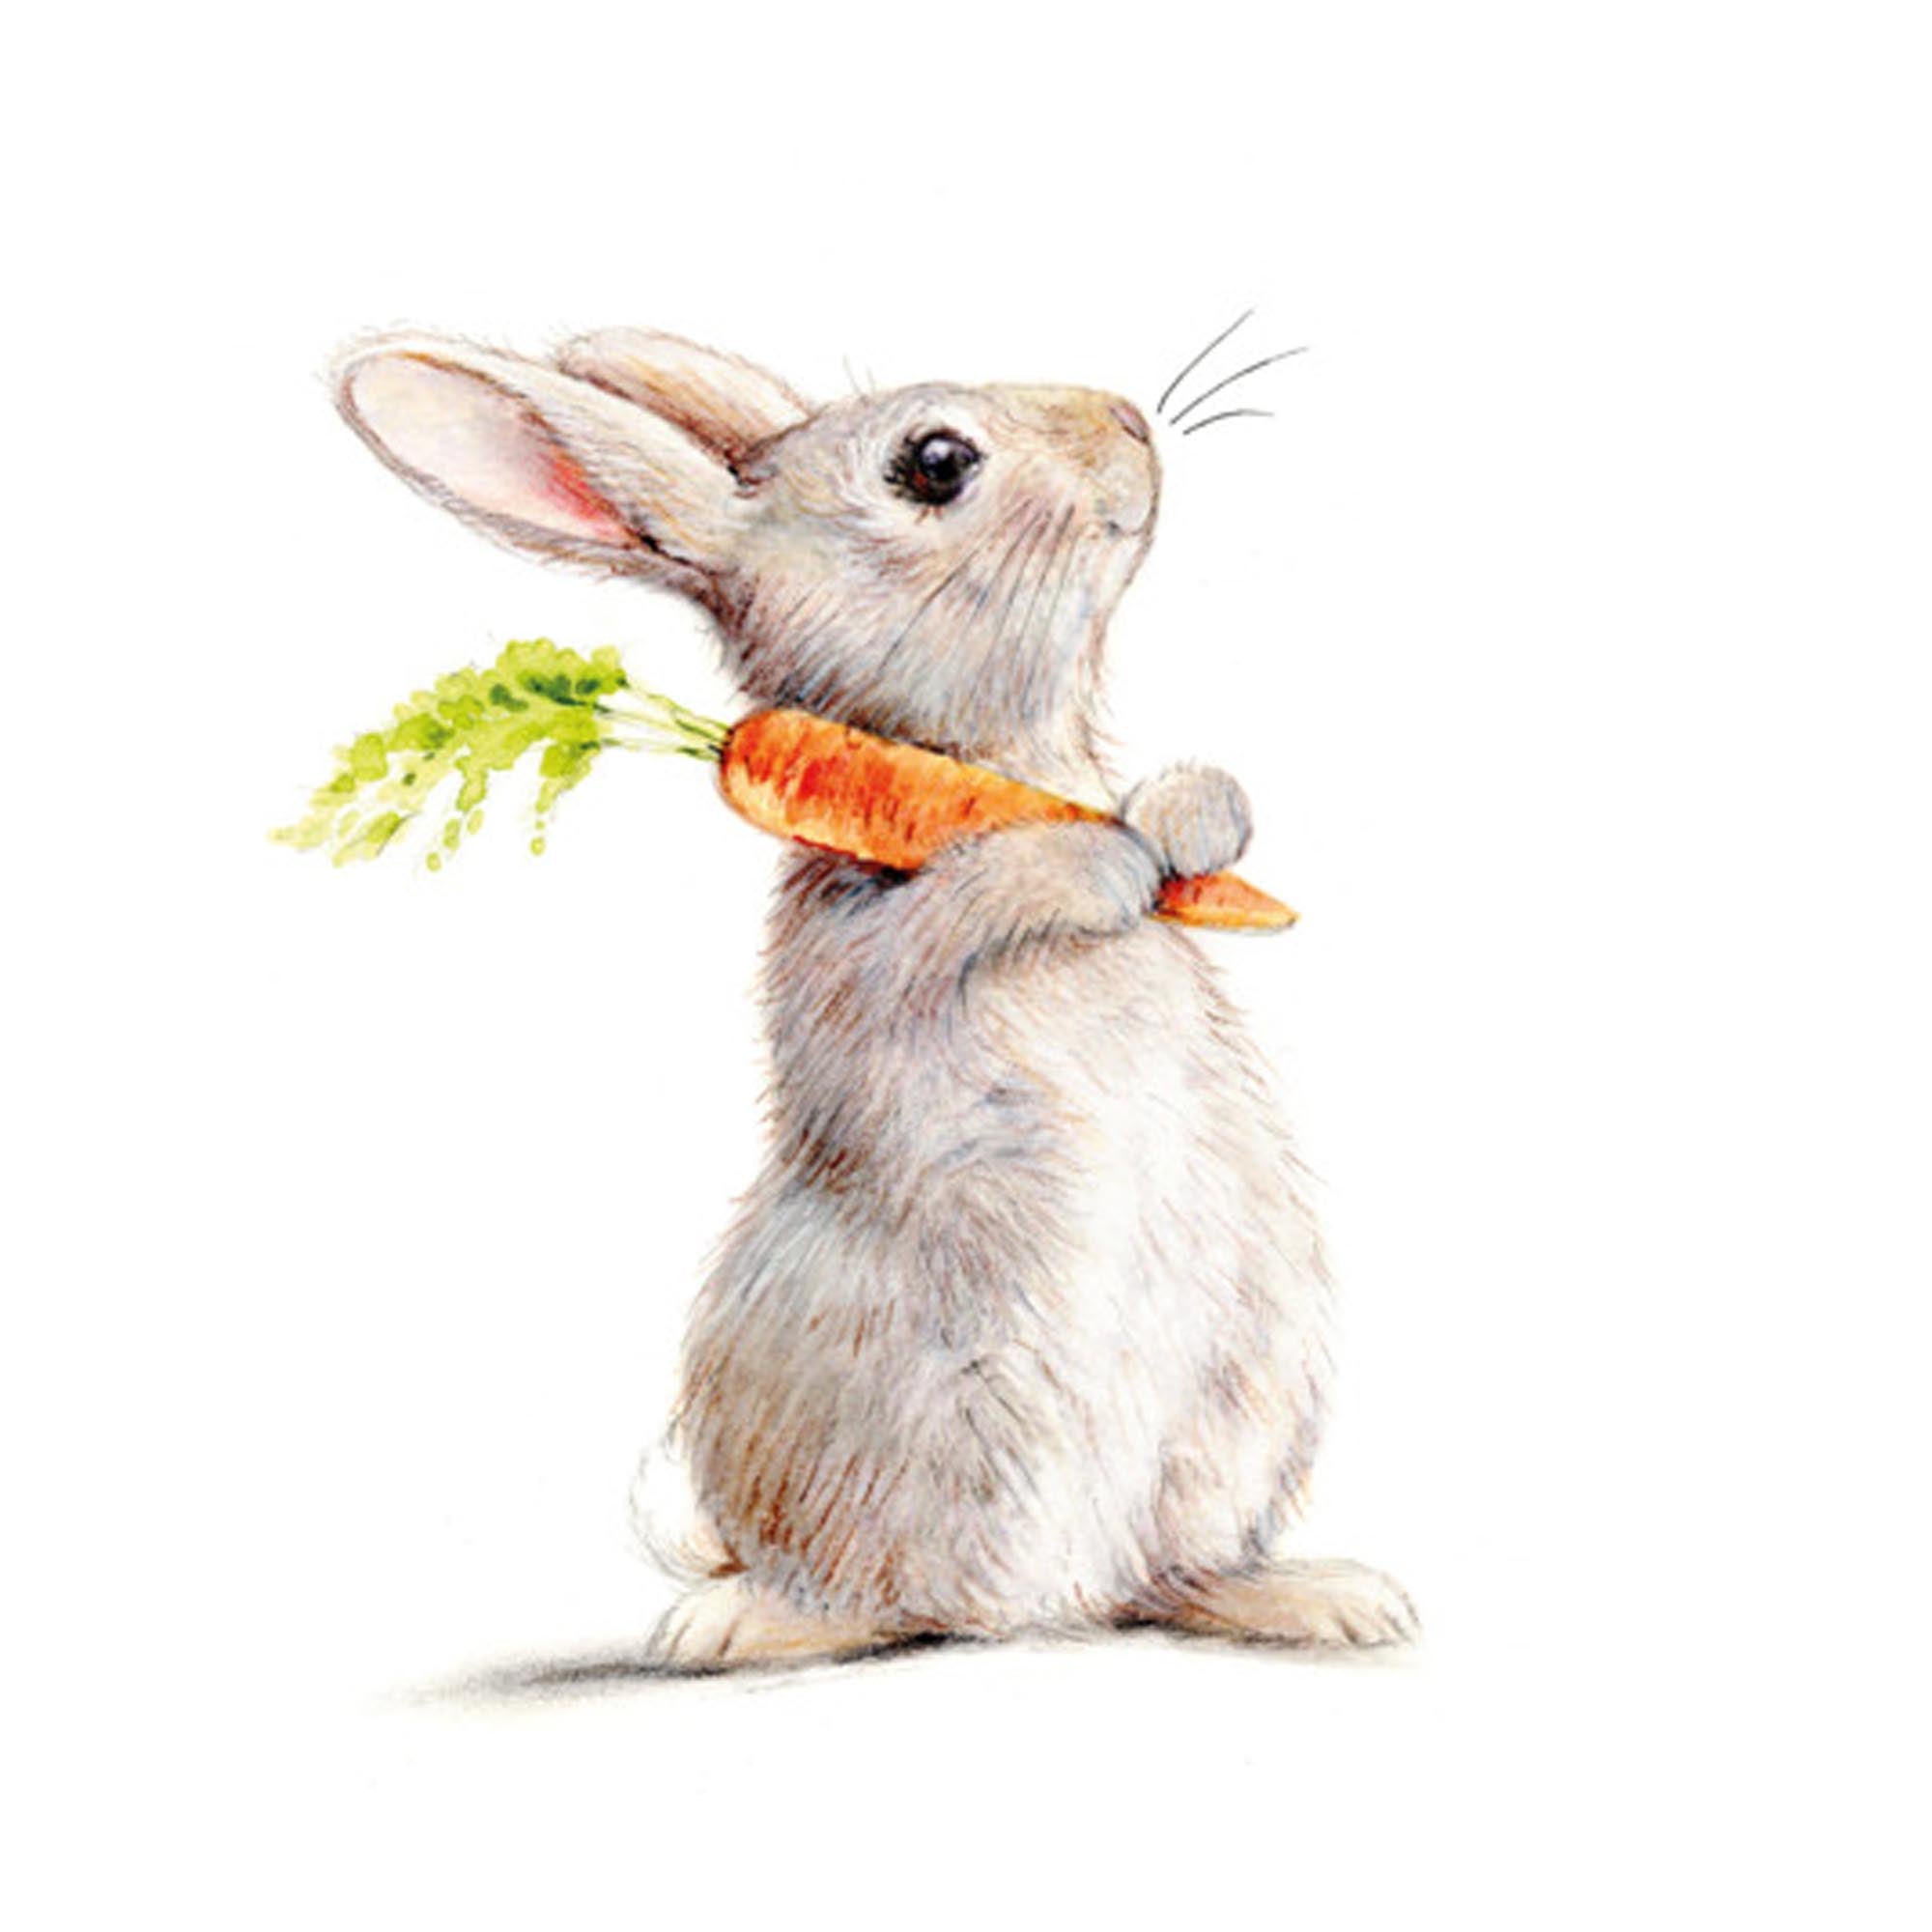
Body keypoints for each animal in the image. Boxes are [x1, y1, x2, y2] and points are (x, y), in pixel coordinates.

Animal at [334, 325, 1417, 1668]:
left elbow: (1189, 805)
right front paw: (1100, 862)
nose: (1126, 421)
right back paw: (725, 1622)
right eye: (935, 461)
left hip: (1230, 1418)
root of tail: (1042, 1600)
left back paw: (1327, 1598)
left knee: (1162, 1573)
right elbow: (972, 893)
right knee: (871, 1594)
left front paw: (1182, 818)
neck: (981, 762)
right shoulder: (867, 942)